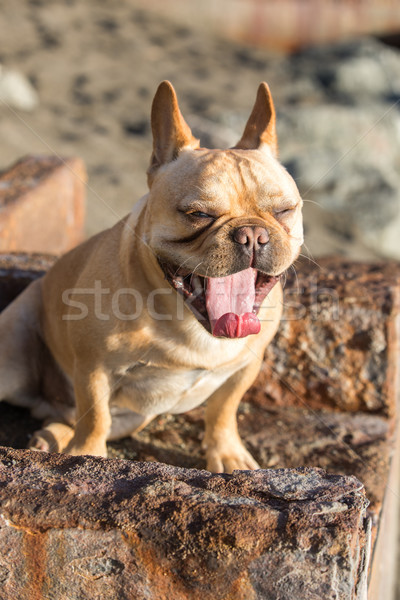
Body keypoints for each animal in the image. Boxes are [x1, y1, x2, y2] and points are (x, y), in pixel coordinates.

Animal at [0, 81, 304, 474]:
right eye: (198, 214)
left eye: (284, 210)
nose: (251, 234)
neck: (188, 322)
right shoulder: (94, 369)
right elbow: (94, 417)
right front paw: (89, 456)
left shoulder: (244, 368)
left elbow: (224, 411)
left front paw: (227, 454)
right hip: (11, 358)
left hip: (134, 416)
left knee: (70, 417)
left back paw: (52, 436)